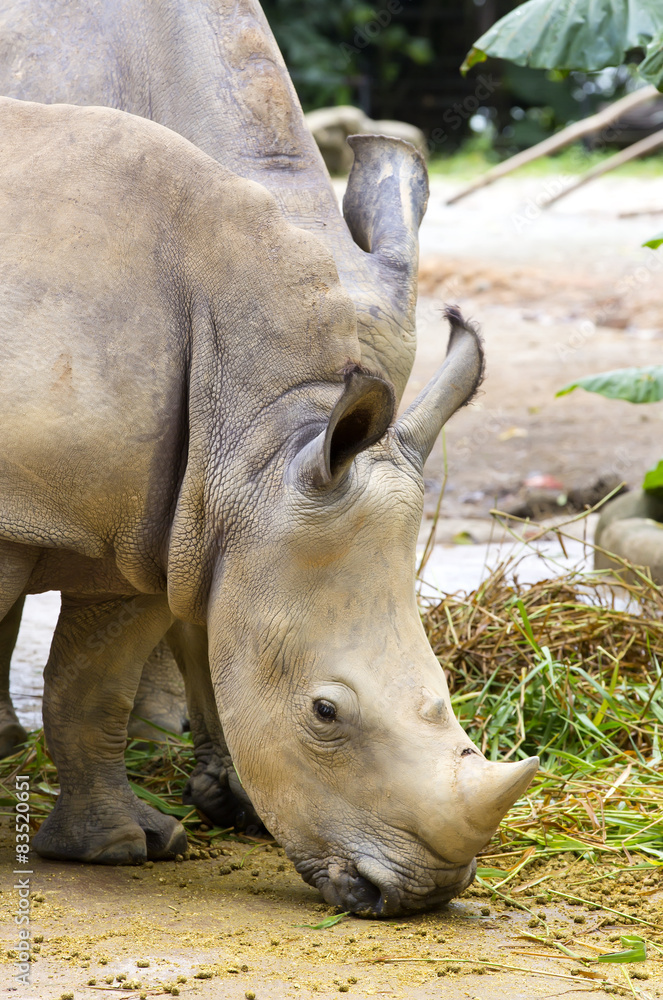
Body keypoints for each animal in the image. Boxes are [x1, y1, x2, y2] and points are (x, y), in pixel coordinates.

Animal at [0, 95, 537, 915]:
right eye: (325, 712)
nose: (424, 893)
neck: (257, 441)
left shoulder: (158, 532)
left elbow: (92, 683)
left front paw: (122, 847)